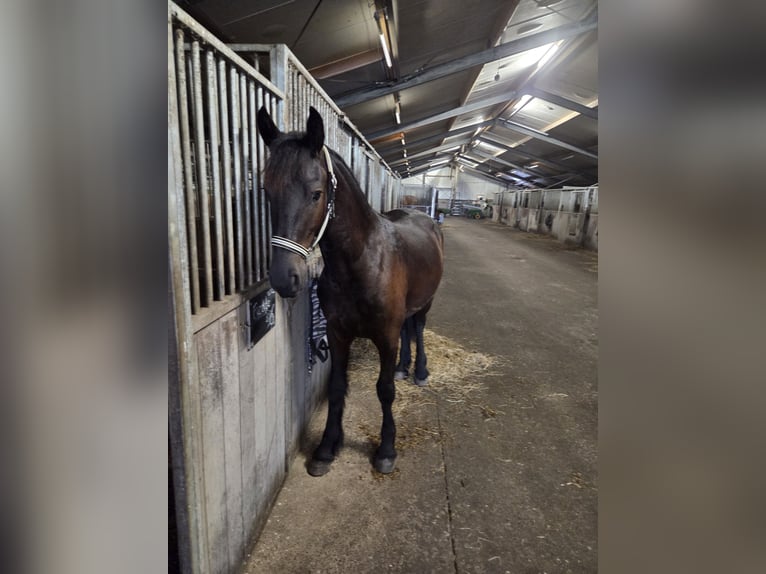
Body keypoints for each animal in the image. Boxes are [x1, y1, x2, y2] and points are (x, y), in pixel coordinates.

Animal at [257, 106, 444, 476]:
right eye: (267, 192)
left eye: (316, 193)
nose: (284, 278)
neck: (361, 263)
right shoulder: (337, 333)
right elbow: (336, 387)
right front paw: (327, 448)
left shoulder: (384, 335)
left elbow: (384, 390)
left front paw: (386, 449)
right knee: (408, 329)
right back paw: (404, 366)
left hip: (427, 302)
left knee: (417, 328)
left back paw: (418, 371)